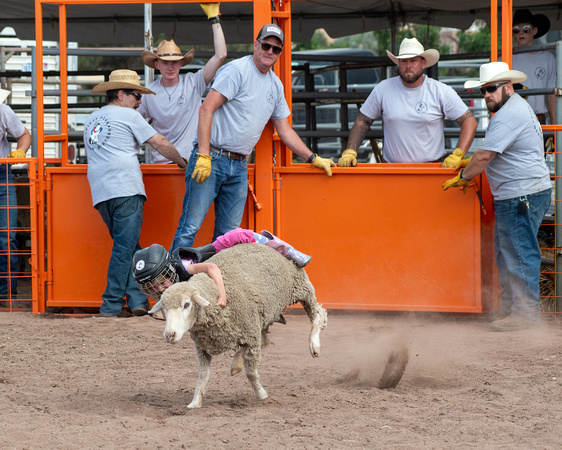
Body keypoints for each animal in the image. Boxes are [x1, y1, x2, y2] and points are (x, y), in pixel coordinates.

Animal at [148, 243, 328, 408]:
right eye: (164, 308)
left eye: (187, 304)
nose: (170, 335)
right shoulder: (203, 347)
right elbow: (203, 375)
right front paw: (195, 402)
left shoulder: (250, 336)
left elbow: (251, 374)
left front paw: (261, 395)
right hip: (261, 316)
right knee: (264, 339)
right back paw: (236, 364)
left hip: (300, 287)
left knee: (318, 314)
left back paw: (314, 345)